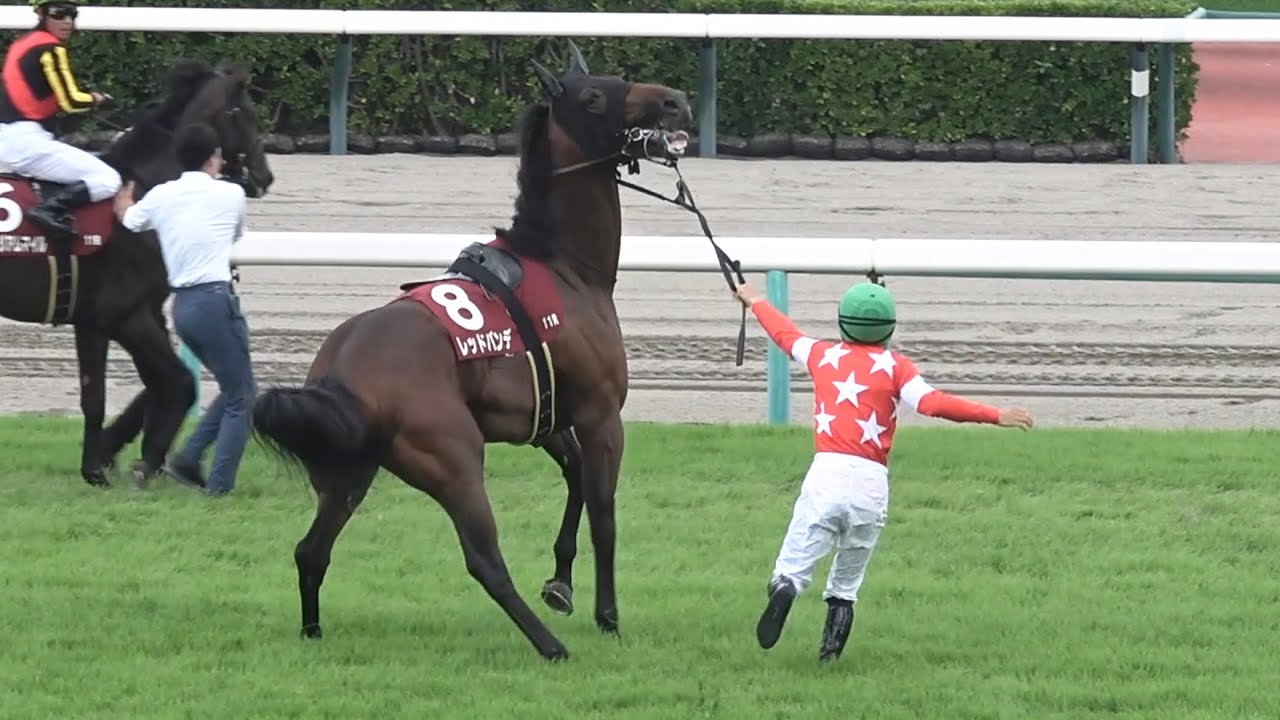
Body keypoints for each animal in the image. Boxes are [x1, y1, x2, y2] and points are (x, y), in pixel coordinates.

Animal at [0, 57, 275, 488]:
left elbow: (167, 384)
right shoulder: (111, 317)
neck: (140, 196)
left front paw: (133, 456)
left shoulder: (143, 312)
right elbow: (102, 397)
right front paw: (99, 469)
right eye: (241, 111)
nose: (265, 177)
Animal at [251, 39, 692, 661]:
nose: (675, 101)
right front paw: (607, 616)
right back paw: (550, 645)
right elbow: (604, 515)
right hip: (456, 461)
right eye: (592, 95)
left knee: (311, 550)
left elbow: (575, 479)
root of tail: (340, 374)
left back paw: (313, 632)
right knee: (484, 560)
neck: (562, 264)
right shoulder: (600, 414)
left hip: (347, 471)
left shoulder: (546, 419)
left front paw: (561, 583)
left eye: (618, 76)